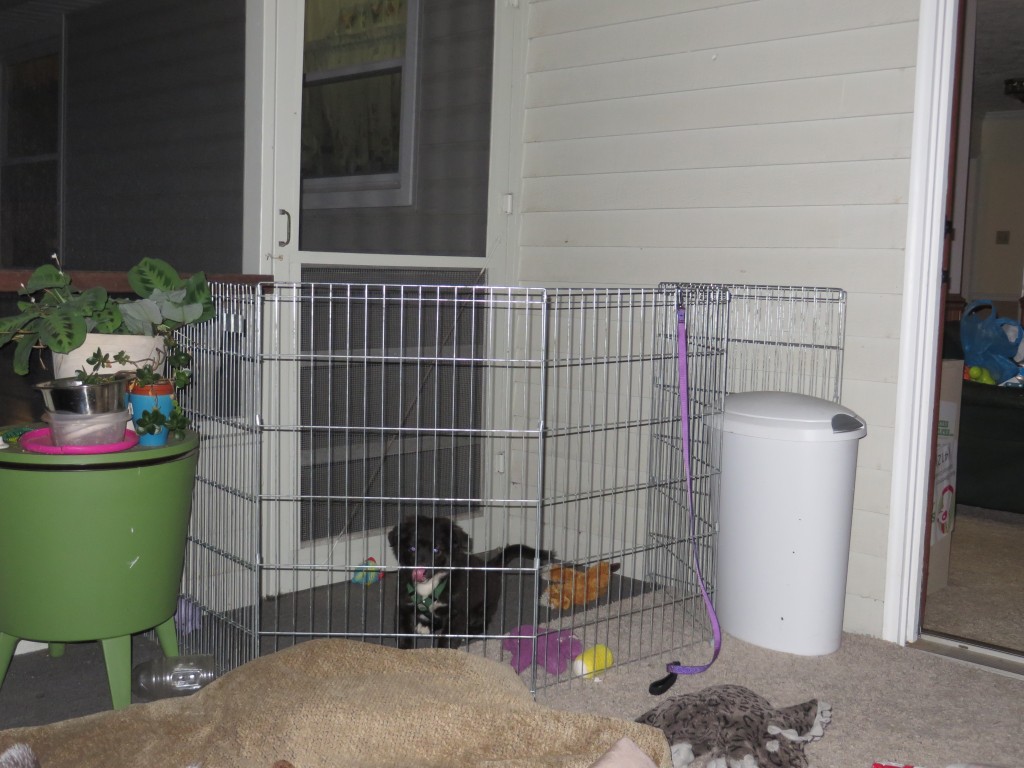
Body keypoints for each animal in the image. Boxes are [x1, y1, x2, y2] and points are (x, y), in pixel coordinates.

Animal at [385, 518, 548, 651]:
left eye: (436, 550)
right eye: (411, 548)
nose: (420, 571)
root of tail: (489, 566)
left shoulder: (457, 613)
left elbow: (446, 640)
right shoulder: (403, 607)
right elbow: (403, 636)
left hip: (482, 609)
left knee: (482, 625)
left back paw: (466, 633)